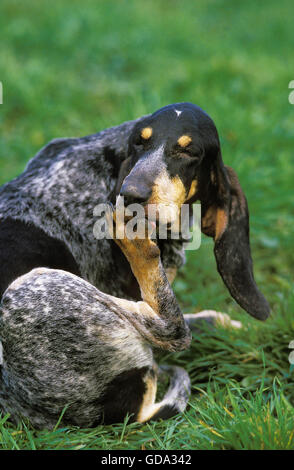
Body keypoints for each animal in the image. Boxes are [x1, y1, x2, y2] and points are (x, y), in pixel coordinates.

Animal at [0, 103, 270, 430]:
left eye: (188, 151)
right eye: (141, 143)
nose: (130, 194)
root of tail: (122, 413)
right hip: (28, 288)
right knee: (172, 330)